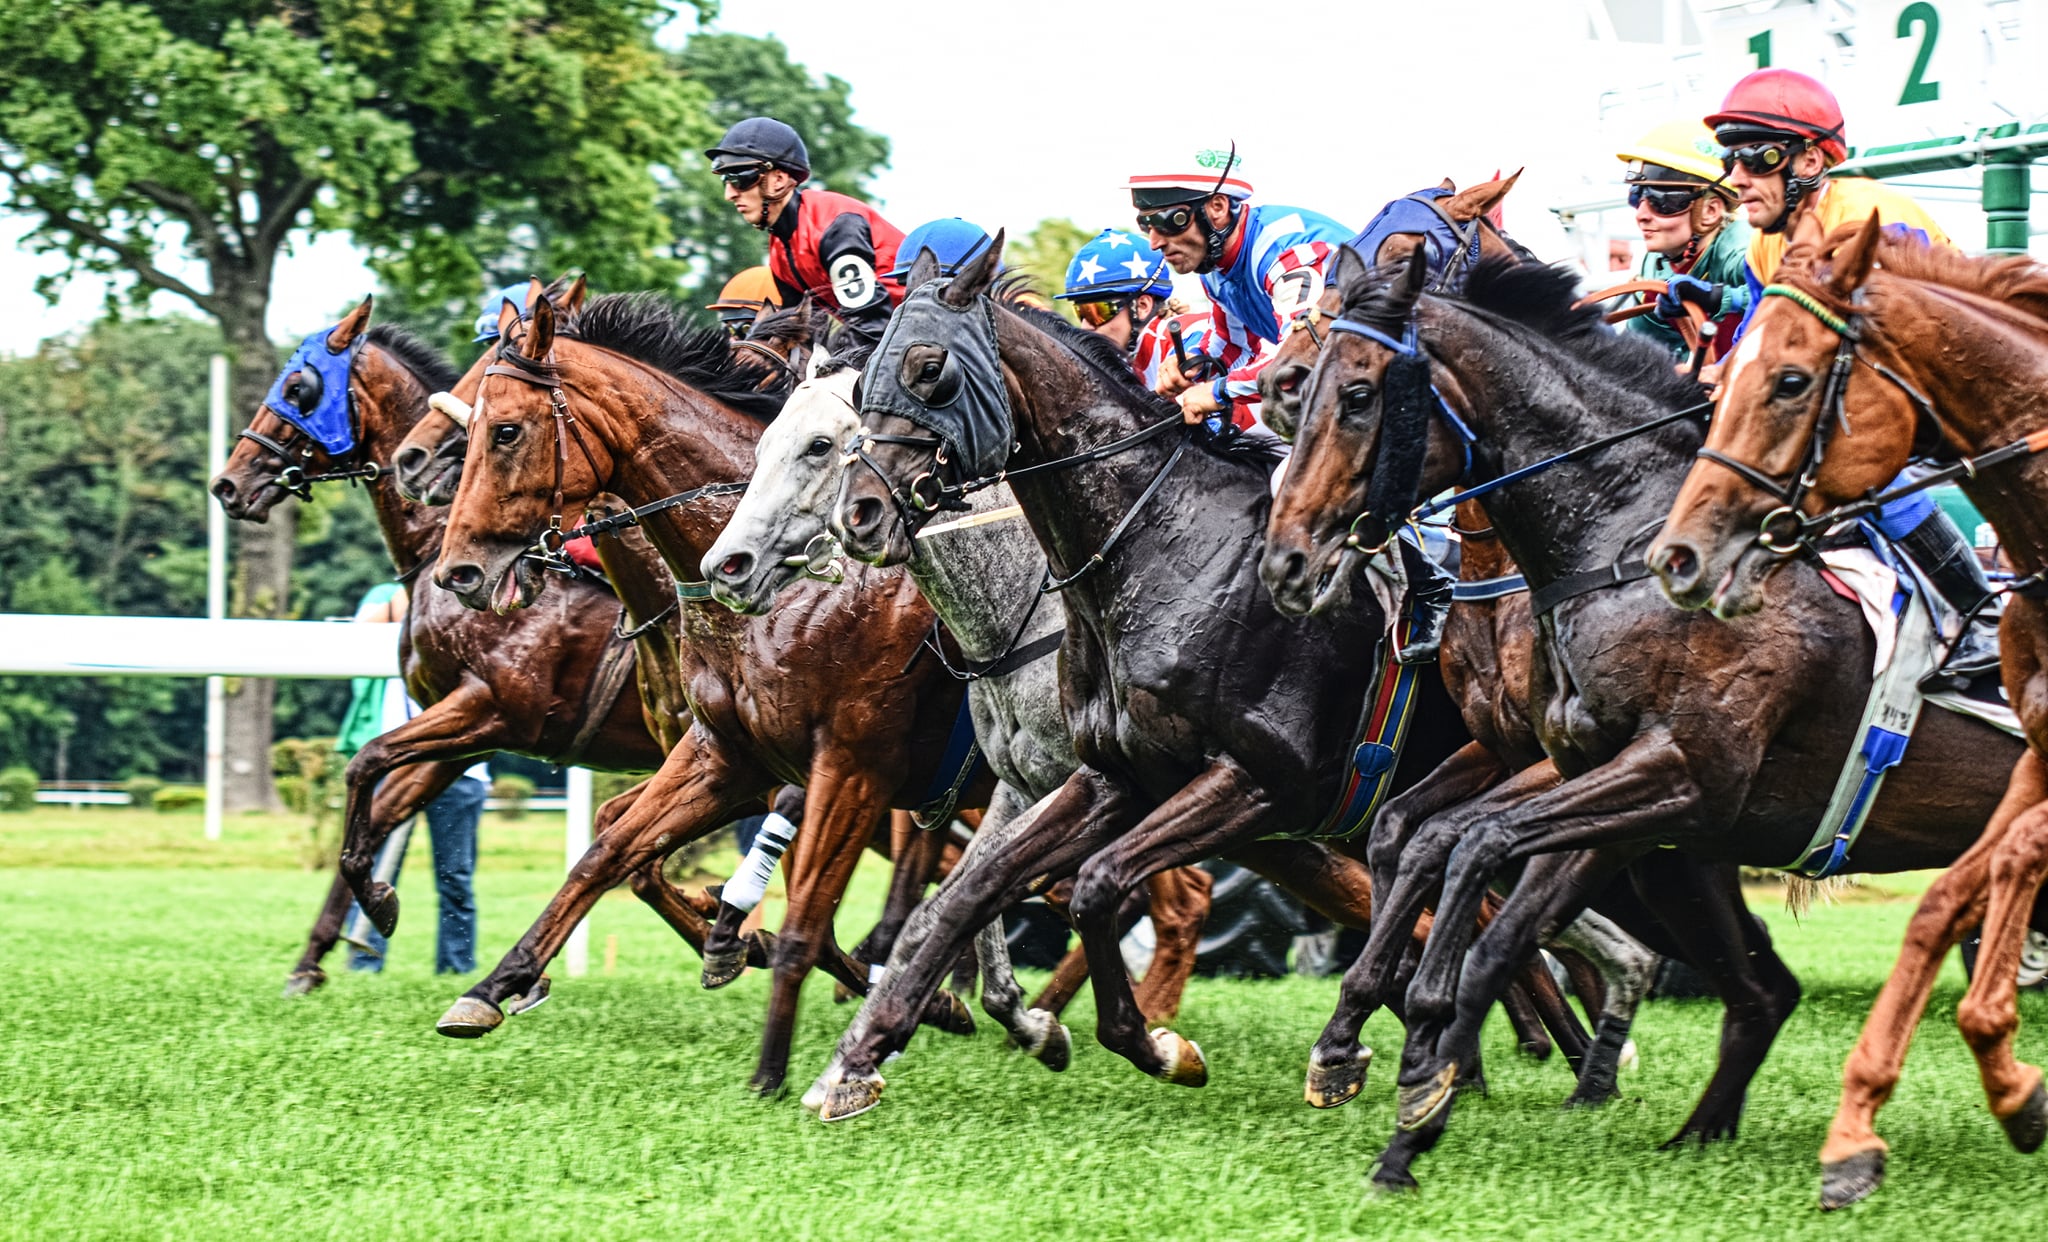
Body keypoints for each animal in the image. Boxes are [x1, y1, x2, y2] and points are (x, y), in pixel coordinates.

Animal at [417, 295, 991, 1098]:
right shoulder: (727, 754)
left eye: (505, 430)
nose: (458, 571)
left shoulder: (852, 766)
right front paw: (497, 985)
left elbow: (804, 909)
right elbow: (609, 849)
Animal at [704, 336, 1212, 1065]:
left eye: (820, 445)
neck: (1029, 604)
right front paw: (1023, 1020)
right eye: (766, 440)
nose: (727, 566)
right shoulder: (1017, 783)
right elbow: (966, 896)